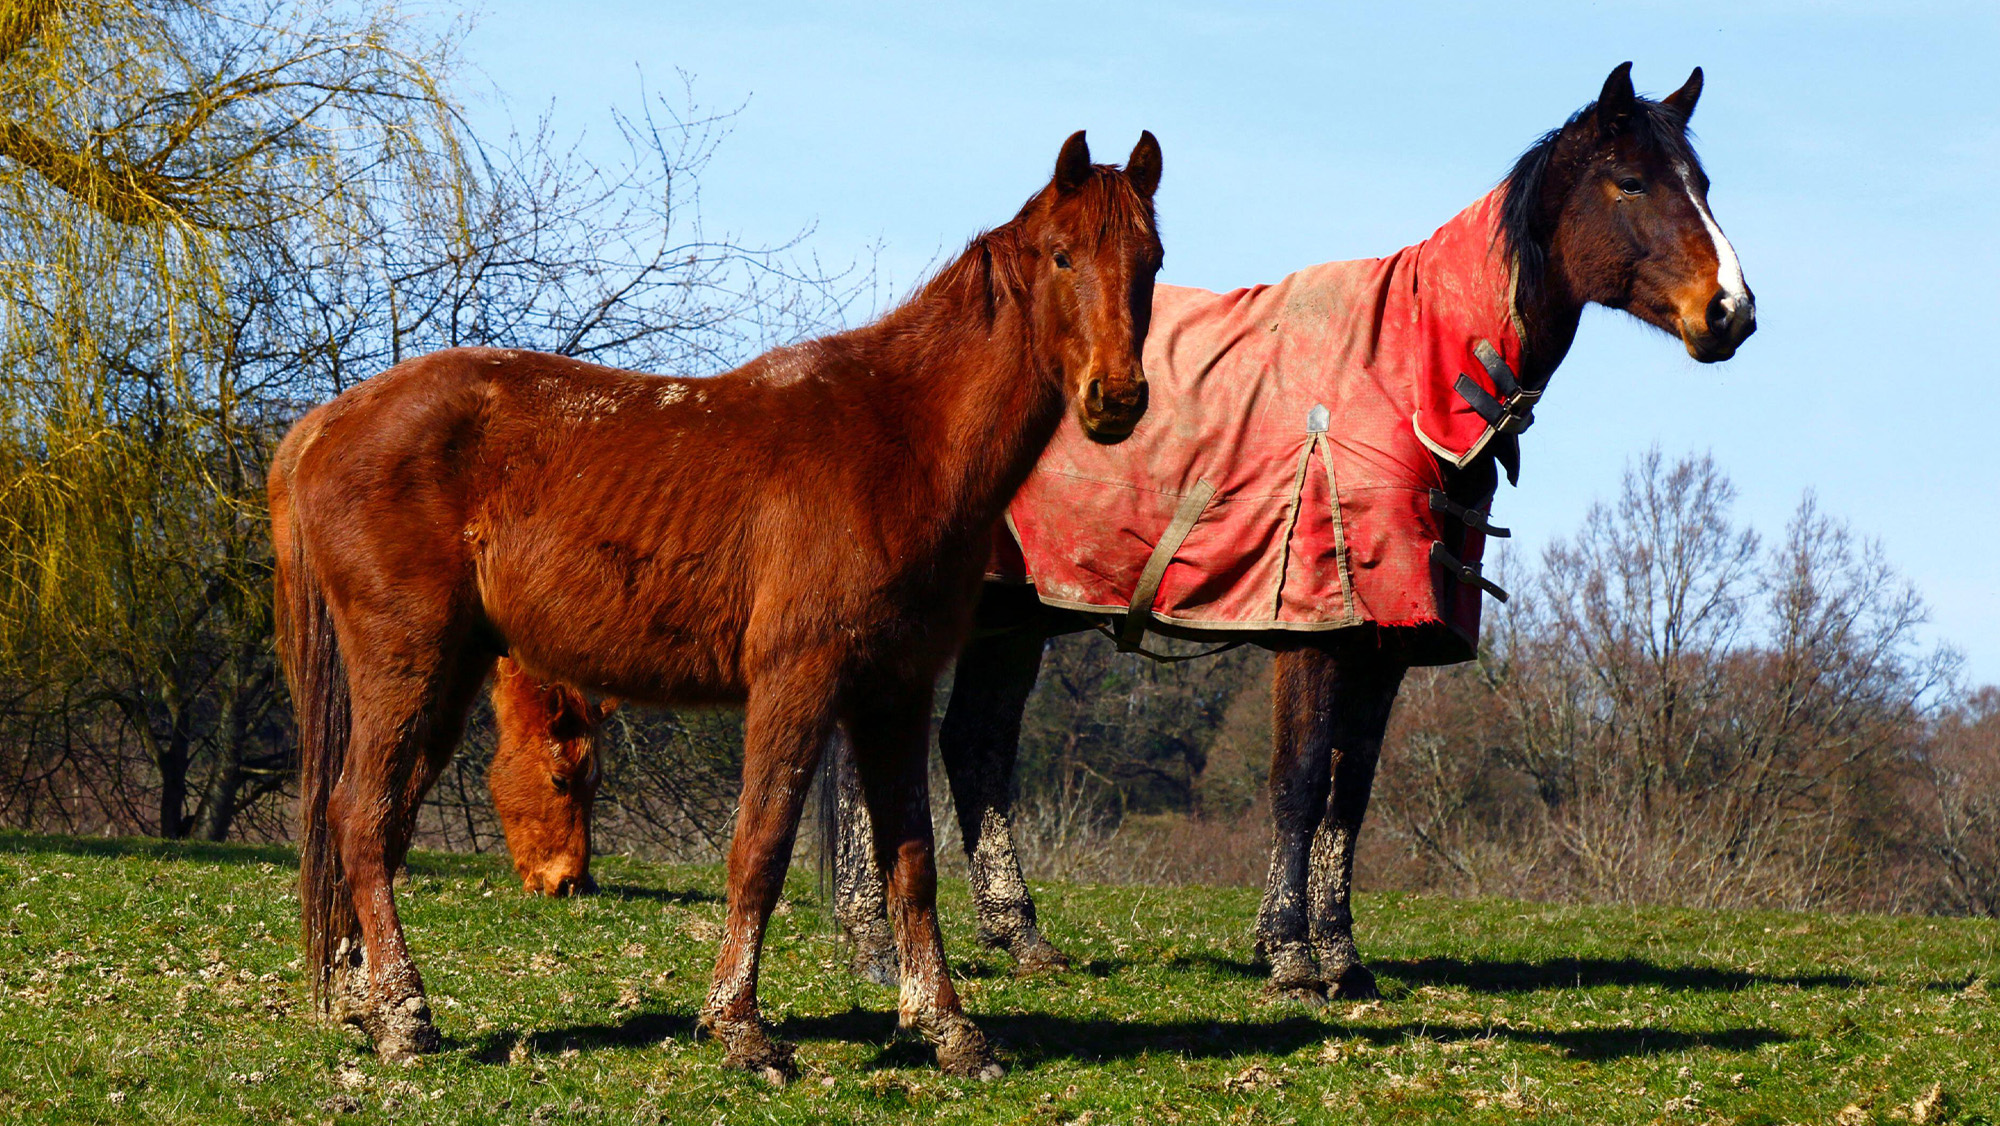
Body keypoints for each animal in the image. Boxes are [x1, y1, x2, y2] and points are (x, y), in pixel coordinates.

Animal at [270, 129, 1165, 1081]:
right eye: (1063, 255)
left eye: (1150, 261)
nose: (1117, 398)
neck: (900, 439)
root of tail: (325, 424)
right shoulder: (797, 681)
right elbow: (760, 847)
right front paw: (741, 1028)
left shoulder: (895, 690)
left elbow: (911, 860)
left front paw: (949, 1030)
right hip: (407, 660)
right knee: (361, 818)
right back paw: (405, 1018)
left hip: (446, 673)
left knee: (382, 819)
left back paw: (366, 1002)